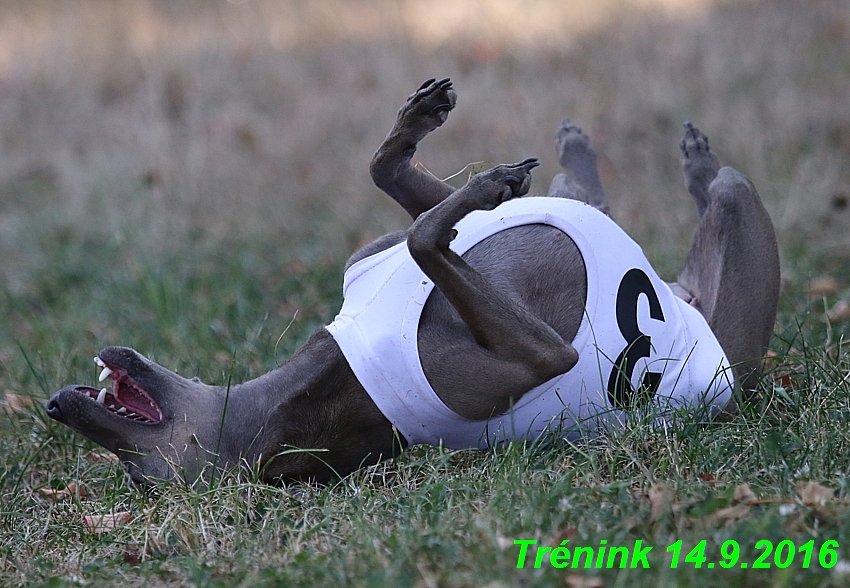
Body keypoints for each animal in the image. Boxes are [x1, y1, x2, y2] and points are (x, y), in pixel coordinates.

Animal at [44, 78, 776, 484]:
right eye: (140, 477)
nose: (53, 404)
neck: (320, 377)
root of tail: (685, 303)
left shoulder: (375, 252)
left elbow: (393, 186)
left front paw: (420, 133)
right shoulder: (538, 356)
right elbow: (429, 236)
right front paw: (486, 184)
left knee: (588, 199)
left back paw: (589, 156)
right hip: (739, 245)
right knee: (722, 189)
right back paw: (690, 166)